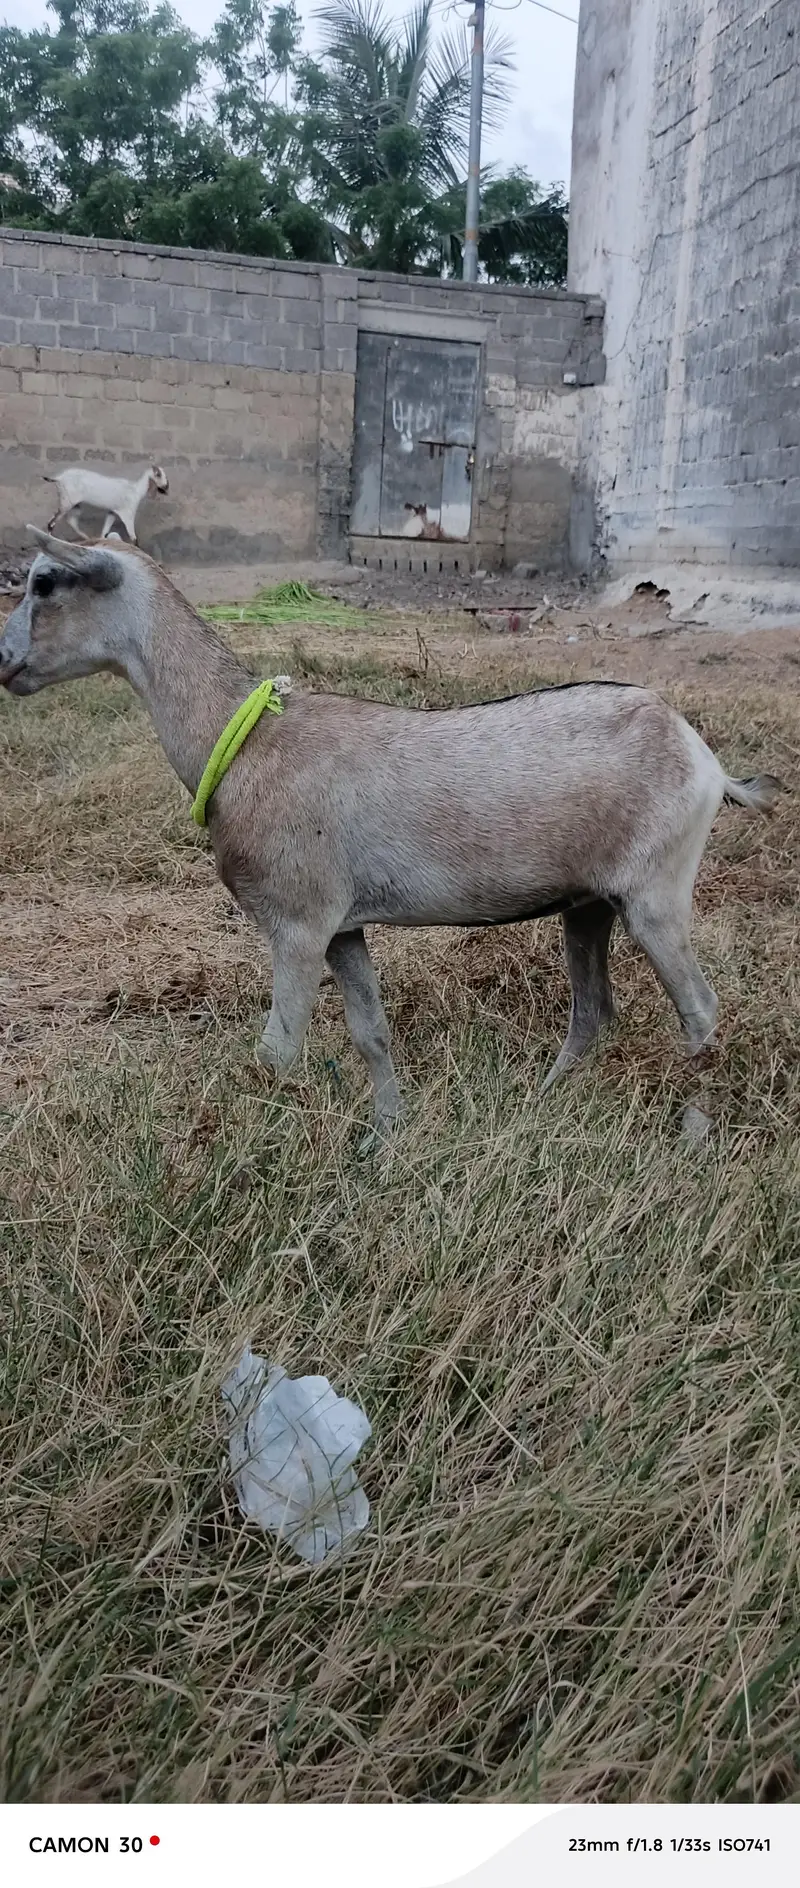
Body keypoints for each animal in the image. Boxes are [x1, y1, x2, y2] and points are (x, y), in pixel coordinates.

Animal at [0, 533, 783, 1141]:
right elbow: (370, 1033)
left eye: (44, 581)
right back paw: (541, 1103)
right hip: (589, 904)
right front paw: (386, 1136)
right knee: (594, 1013)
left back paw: (693, 1128)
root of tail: (706, 760)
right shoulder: (342, 926)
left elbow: (276, 1053)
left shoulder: (296, 920)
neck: (246, 738)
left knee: (701, 1011)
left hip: (657, 891)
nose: (3, 662)